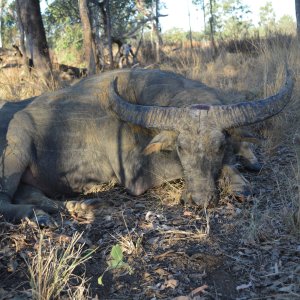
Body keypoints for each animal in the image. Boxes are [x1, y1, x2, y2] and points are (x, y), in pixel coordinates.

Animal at [0, 68, 294, 223]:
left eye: (219, 146)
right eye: (181, 148)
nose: (200, 200)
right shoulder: (137, 176)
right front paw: (238, 181)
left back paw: (76, 207)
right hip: (17, 147)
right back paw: (39, 216)